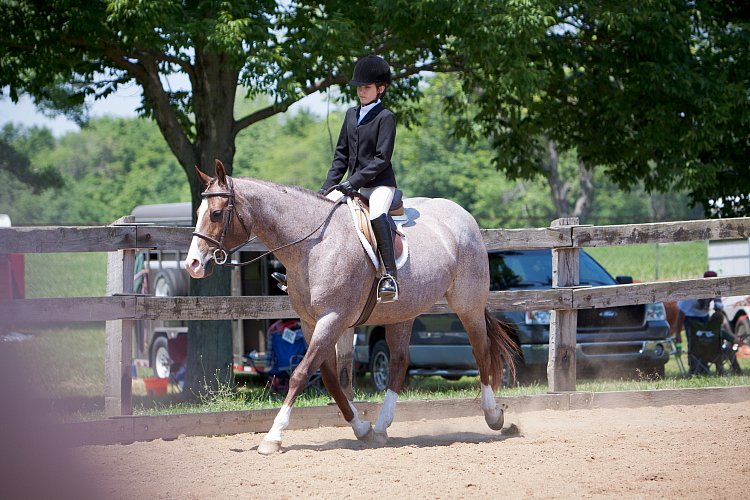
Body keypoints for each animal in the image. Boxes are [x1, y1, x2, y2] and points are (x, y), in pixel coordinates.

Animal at [185, 160, 520, 454]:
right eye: (199, 212)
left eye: (216, 214)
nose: (193, 265)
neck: (312, 245)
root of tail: (463, 215)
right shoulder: (311, 322)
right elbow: (331, 379)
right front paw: (363, 429)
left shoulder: (333, 319)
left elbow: (300, 374)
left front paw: (273, 437)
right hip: (403, 313)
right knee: (399, 363)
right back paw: (382, 428)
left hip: (468, 305)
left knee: (480, 352)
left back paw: (494, 417)